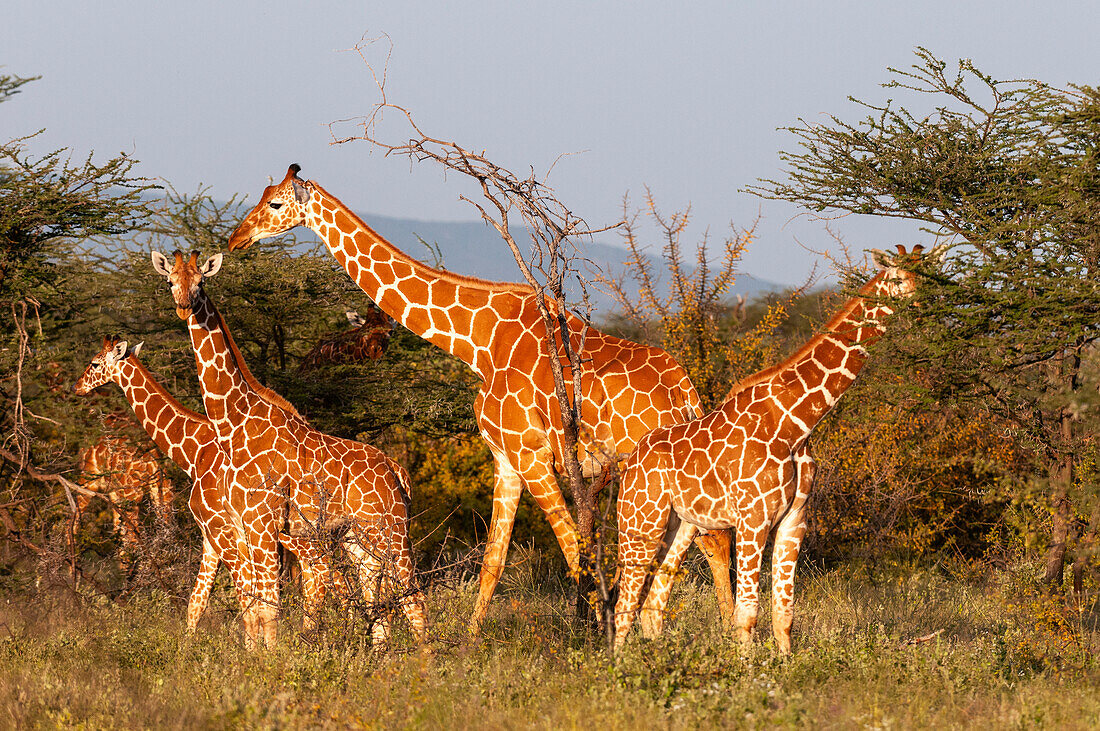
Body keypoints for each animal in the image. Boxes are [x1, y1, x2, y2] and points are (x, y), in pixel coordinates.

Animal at [72, 334, 345, 628]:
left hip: (299, 534)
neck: (194, 453)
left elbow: (245, 599)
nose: (77, 387)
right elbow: (197, 601)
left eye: (94, 363)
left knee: (325, 576)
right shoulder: (209, 535)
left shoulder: (220, 529)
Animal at [152, 248, 426, 646]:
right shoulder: (242, 526)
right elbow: (256, 603)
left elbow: (270, 605)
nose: (184, 306)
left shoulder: (264, 524)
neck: (234, 425)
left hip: (390, 528)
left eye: (200, 282)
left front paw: (274, 656)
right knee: (380, 597)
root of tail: (397, 471)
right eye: (170, 280)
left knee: (413, 596)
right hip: (358, 537)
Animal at [225, 164, 739, 633]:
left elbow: (572, 548)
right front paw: (471, 645)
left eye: (275, 204)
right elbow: (494, 560)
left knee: (707, 542)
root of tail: (687, 393)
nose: (235, 239)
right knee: (706, 543)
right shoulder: (505, 459)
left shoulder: (532, 455)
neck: (478, 342)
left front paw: (589, 636)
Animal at [616, 244, 941, 650]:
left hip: (681, 525)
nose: (925, 304)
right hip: (639, 521)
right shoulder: (752, 519)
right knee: (624, 603)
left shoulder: (794, 519)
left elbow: (784, 614)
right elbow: (747, 613)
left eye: (926, 275)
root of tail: (630, 462)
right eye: (897, 278)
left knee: (653, 601)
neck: (795, 423)